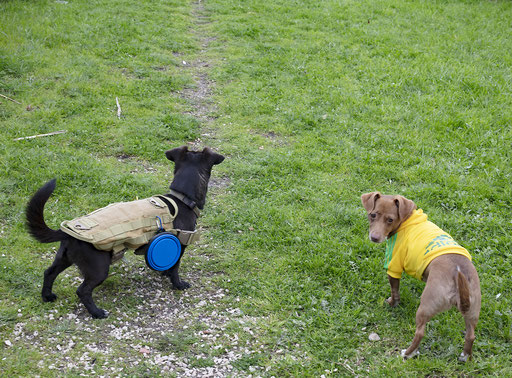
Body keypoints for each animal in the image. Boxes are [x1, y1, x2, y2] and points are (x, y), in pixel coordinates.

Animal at [26, 146, 224, 318]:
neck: (182, 200)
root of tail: (66, 233)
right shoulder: (180, 244)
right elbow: (175, 267)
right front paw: (178, 284)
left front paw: (165, 274)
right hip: (98, 268)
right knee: (82, 290)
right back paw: (97, 313)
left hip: (64, 258)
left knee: (49, 273)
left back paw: (47, 296)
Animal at [360, 193, 480, 362]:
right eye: (373, 215)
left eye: (390, 220)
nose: (375, 237)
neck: (407, 219)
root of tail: (457, 275)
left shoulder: (393, 266)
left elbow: (394, 290)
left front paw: (391, 303)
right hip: (472, 310)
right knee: (471, 335)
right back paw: (465, 357)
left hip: (426, 306)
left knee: (420, 333)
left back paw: (408, 353)